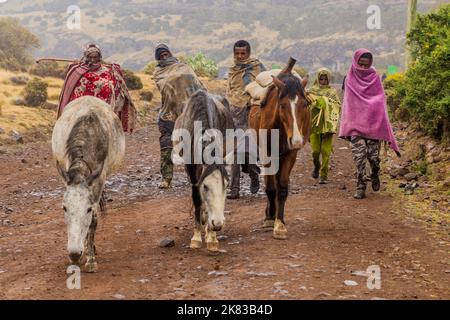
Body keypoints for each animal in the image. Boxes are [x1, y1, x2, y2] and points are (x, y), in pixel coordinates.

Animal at [248, 57, 312, 239]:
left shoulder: (290, 154)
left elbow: (282, 187)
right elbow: (270, 188)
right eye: (282, 105)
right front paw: (270, 219)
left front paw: (280, 224)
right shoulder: (267, 153)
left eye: (305, 104)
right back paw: (269, 213)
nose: (296, 140)